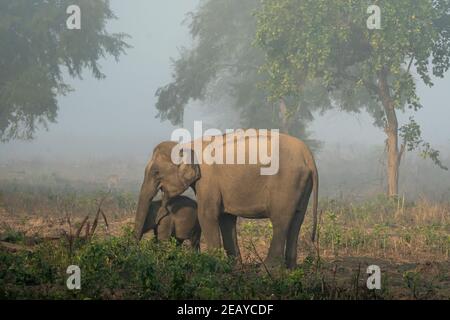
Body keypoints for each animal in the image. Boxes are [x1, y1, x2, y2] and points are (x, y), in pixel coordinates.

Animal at [135, 131, 318, 268]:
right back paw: (290, 269)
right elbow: (226, 218)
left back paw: (268, 269)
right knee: (297, 220)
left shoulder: (207, 181)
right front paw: (234, 267)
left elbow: (207, 215)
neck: (189, 145)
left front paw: (213, 264)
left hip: (287, 182)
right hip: (302, 184)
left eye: (156, 172)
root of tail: (308, 155)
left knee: (281, 221)